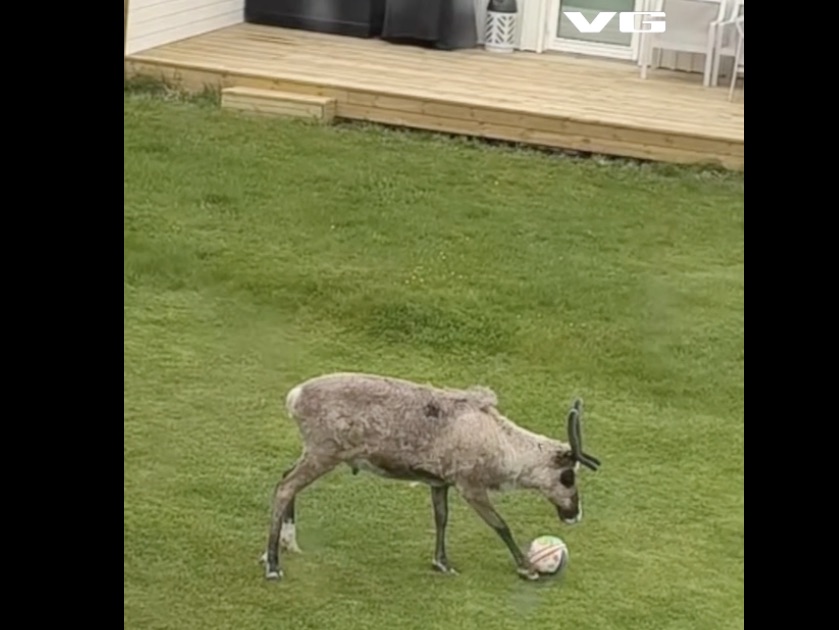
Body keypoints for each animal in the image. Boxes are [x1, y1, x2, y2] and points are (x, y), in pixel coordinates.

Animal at [261, 372, 601, 581]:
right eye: (568, 476)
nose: (575, 514)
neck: (504, 449)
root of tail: (294, 397)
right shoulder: (470, 485)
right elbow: (500, 524)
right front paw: (528, 568)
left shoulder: (439, 482)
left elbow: (441, 518)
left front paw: (442, 562)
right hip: (324, 452)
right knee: (284, 486)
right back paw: (273, 565)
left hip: (315, 452)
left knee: (286, 478)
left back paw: (288, 543)